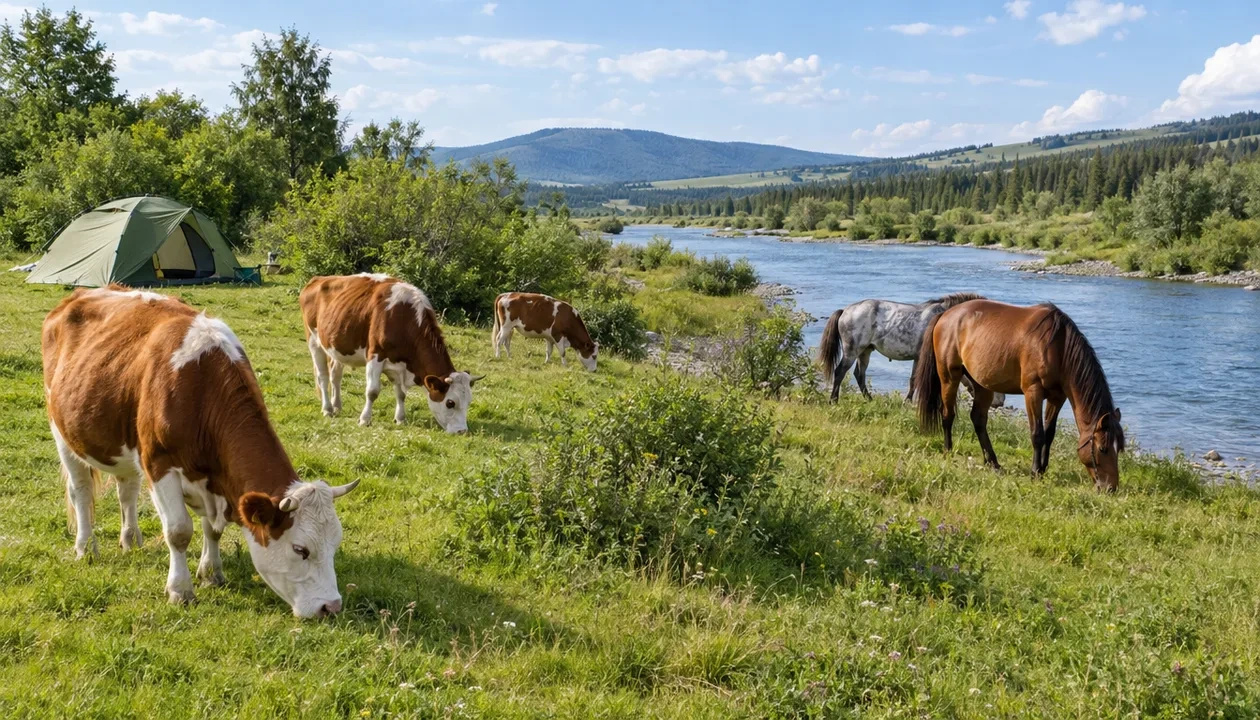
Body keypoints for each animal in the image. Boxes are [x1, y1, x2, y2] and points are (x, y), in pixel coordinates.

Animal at [818, 292, 1004, 407]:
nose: (1000, 402)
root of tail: (845, 311)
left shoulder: (918, 358)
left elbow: (915, 381)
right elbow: (917, 381)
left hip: (865, 351)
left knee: (859, 374)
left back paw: (869, 399)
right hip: (852, 350)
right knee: (840, 372)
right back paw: (833, 400)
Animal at [912, 299, 1125, 491]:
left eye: (1119, 448)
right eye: (1103, 448)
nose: (1110, 488)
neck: (1057, 346)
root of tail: (945, 315)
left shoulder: (1057, 397)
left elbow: (1049, 434)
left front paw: (1043, 469)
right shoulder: (1033, 392)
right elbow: (1037, 434)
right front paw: (1035, 472)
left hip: (982, 384)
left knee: (978, 419)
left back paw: (993, 462)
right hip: (949, 376)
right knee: (948, 414)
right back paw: (948, 451)